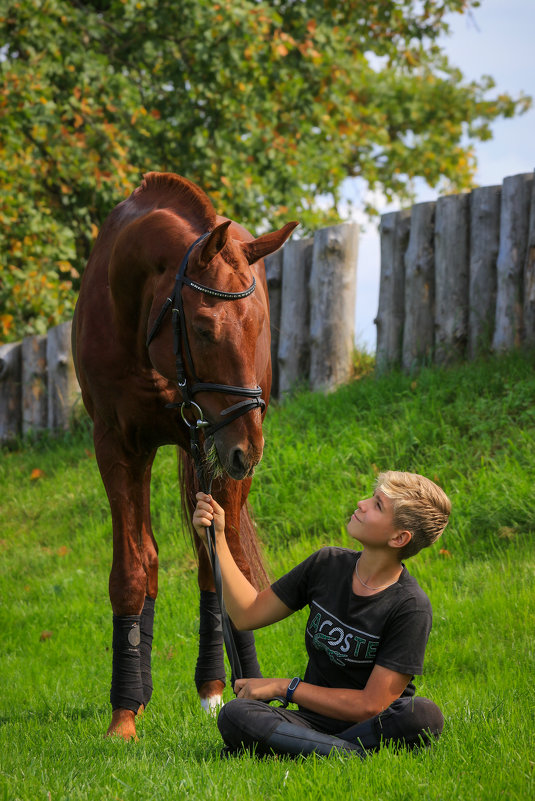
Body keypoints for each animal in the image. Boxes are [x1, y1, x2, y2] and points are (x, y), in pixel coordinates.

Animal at [72, 172, 298, 740]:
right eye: (202, 327)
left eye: (259, 323)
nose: (250, 450)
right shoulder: (117, 446)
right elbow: (135, 570)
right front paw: (125, 712)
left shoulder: (218, 450)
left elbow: (221, 561)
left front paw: (228, 689)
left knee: (218, 558)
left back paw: (219, 686)